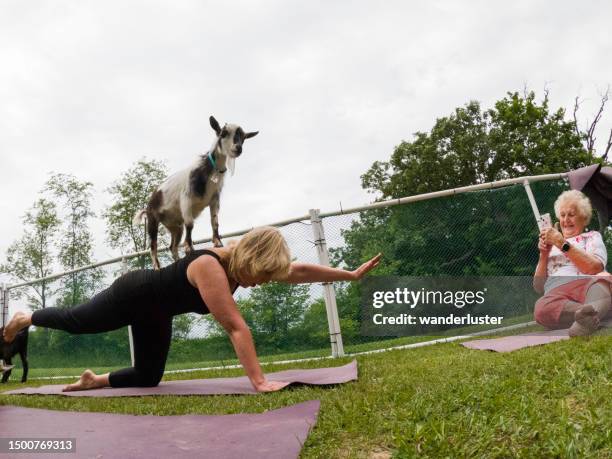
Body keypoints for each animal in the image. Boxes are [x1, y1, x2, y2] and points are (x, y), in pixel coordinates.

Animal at [134, 115, 258, 272]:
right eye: (223, 133)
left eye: (243, 137)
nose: (238, 148)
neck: (208, 172)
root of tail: (149, 203)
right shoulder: (186, 200)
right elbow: (190, 224)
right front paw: (189, 248)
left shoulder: (214, 199)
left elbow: (214, 221)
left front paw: (218, 243)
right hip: (152, 220)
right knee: (153, 245)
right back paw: (157, 267)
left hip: (175, 226)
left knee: (172, 246)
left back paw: (177, 261)